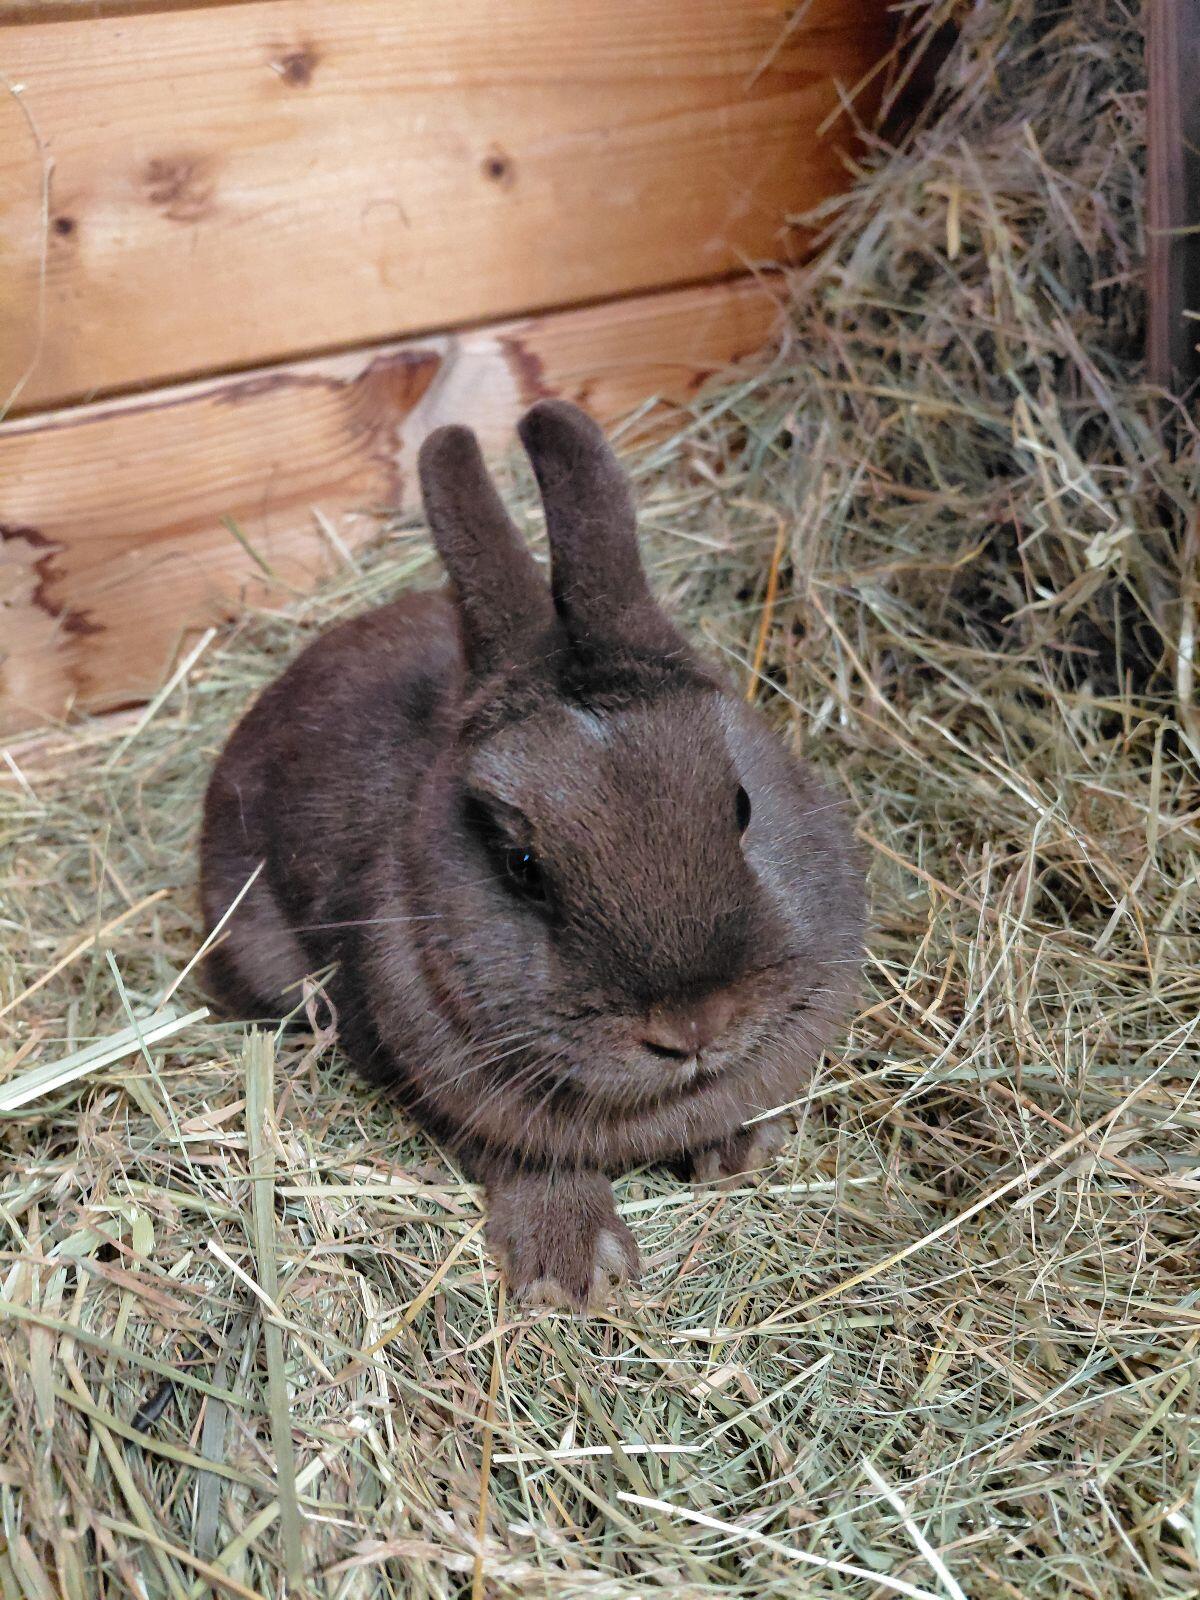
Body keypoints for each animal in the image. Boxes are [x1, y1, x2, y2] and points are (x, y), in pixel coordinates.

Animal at [200, 400, 864, 1308]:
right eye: (522, 867)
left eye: (741, 805)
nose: (693, 1027)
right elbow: (529, 1161)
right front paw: (574, 1274)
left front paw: (745, 1153)